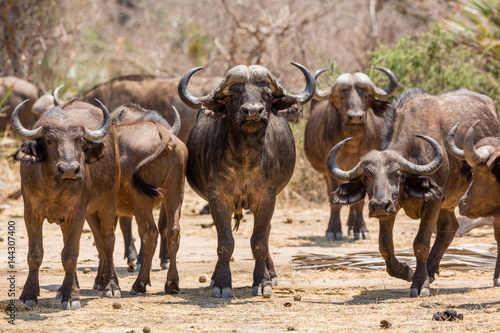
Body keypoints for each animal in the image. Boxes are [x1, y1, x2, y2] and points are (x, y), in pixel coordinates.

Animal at [10, 98, 121, 308]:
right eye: (49, 140)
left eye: (80, 140)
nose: (69, 169)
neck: (54, 188)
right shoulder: (30, 212)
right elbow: (35, 254)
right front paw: (29, 294)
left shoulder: (77, 213)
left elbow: (70, 254)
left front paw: (72, 297)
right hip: (88, 213)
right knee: (96, 240)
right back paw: (65, 288)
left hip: (108, 202)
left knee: (108, 241)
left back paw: (111, 286)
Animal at [178, 61, 314, 296]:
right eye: (233, 94)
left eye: (267, 94)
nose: (253, 111)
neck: (245, 158)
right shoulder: (217, 198)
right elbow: (225, 242)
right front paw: (222, 283)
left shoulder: (267, 198)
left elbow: (259, 241)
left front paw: (262, 281)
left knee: (266, 234)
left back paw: (271, 273)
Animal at [304, 66, 398, 240]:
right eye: (342, 96)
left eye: (366, 96)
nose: (355, 117)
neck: (352, 144)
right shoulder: (330, 170)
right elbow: (335, 199)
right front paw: (333, 230)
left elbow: (359, 202)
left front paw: (360, 229)